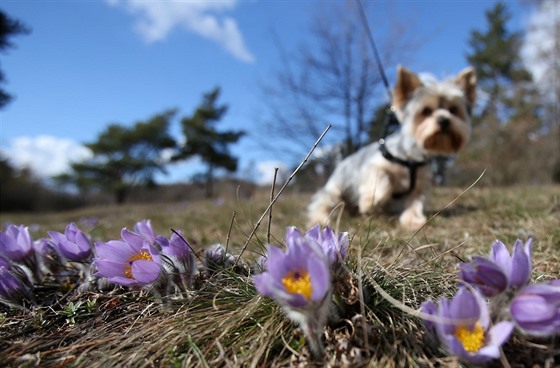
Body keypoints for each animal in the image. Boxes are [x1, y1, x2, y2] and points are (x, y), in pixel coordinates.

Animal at [306, 64, 476, 229]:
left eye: (453, 110)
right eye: (426, 111)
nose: (444, 120)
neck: (412, 156)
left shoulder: (420, 184)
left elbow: (415, 203)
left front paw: (413, 220)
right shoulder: (375, 165)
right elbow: (382, 178)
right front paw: (371, 201)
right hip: (336, 187)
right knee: (322, 202)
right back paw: (320, 219)